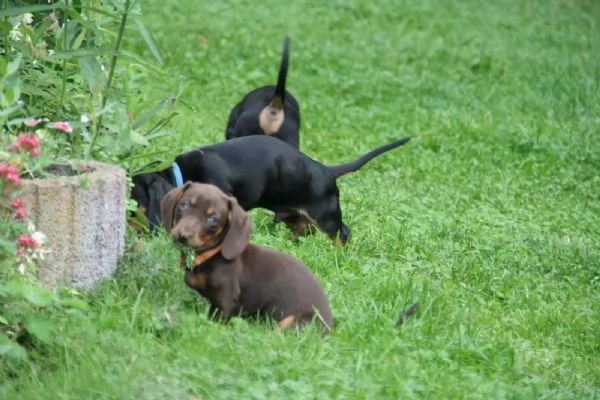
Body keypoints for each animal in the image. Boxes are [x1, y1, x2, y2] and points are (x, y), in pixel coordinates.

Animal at [132, 136, 412, 245]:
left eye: (133, 207)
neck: (180, 174)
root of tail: (327, 171)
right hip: (297, 218)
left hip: (327, 217)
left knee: (343, 233)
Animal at [162, 183, 336, 332]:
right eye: (184, 205)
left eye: (213, 219)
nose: (183, 236)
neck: (211, 254)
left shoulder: (225, 298)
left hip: (294, 320)